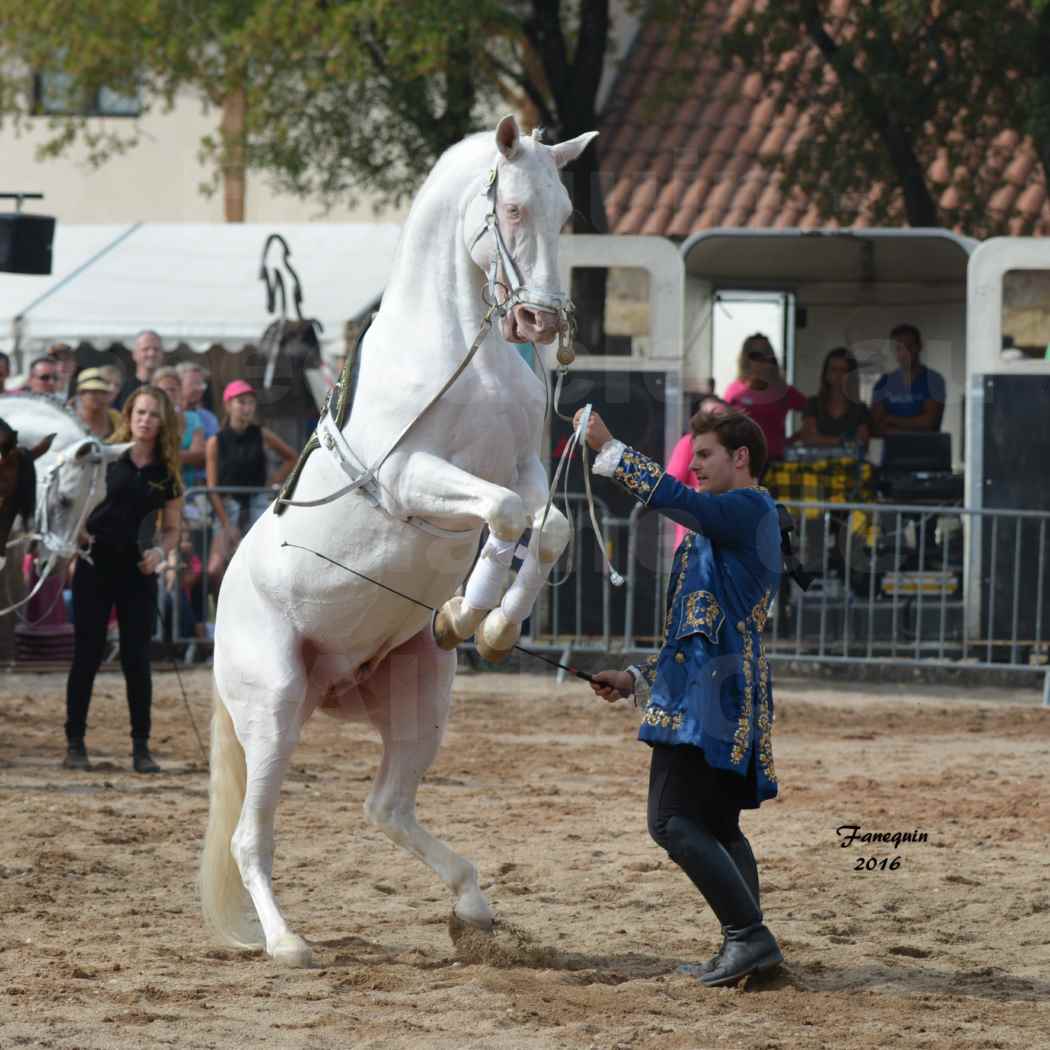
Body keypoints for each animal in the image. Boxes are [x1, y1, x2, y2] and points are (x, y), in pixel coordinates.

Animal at [200, 117, 596, 965]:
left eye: (566, 212)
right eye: (511, 209)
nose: (543, 324)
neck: (459, 356)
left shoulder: (526, 469)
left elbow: (546, 526)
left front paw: (489, 624)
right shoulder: (414, 477)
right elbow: (502, 515)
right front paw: (468, 611)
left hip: (419, 701)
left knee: (384, 808)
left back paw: (473, 903)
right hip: (274, 706)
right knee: (252, 837)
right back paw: (287, 942)